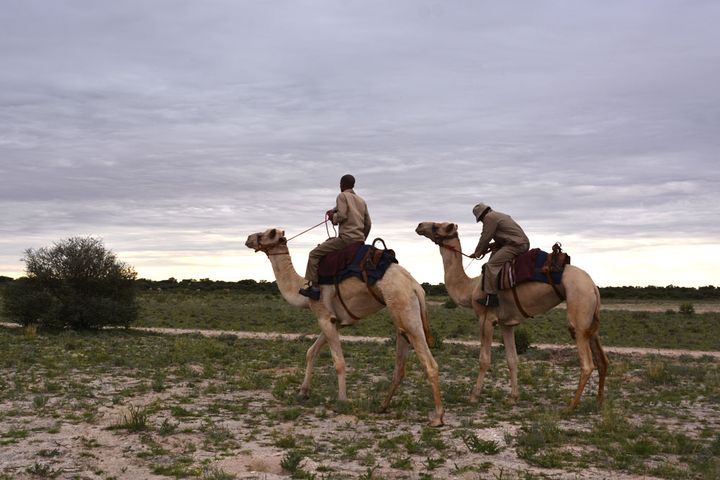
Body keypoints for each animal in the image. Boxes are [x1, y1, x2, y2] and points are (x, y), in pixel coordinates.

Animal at [245, 229, 444, 428]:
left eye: (266, 234)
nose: (248, 239)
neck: (301, 290)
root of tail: (416, 287)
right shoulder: (335, 321)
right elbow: (311, 352)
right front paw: (303, 392)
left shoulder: (324, 317)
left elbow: (338, 362)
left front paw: (341, 401)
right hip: (402, 317)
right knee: (400, 366)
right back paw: (382, 406)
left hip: (405, 309)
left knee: (429, 364)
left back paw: (437, 417)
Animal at [416, 221, 608, 408]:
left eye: (436, 226)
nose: (419, 226)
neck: (470, 288)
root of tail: (593, 286)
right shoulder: (506, 323)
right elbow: (512, 359)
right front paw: (513, 398)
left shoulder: (486, 319)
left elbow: (484, 359)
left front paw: (474, 396)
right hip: (591, 319)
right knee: (602, 360)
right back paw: (598, 402)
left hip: (579, 309)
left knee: (587, 364)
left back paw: (571, 406)